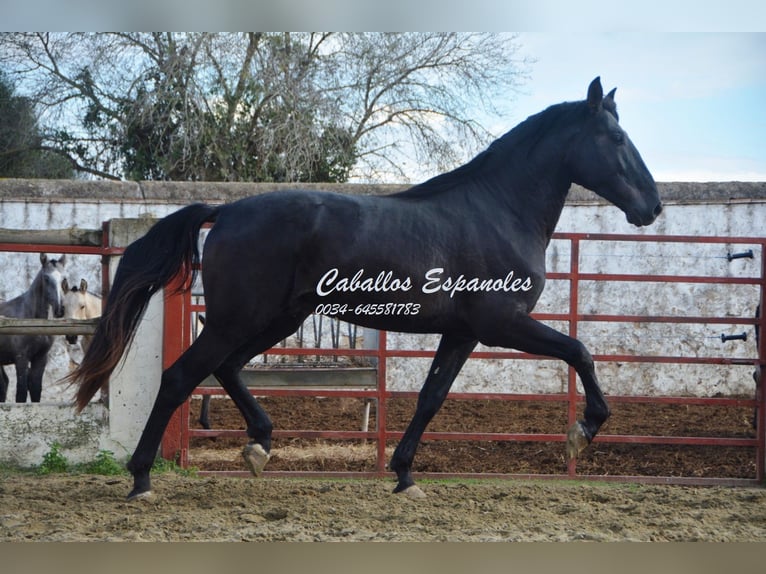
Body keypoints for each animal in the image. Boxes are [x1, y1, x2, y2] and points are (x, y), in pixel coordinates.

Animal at [0, 254, 67, 408]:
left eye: (64, 278)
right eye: (46, 278)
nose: (59, 309)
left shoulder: (40, 358)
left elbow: (36, 390)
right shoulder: (21, 358)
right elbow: (21, 393)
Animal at [69, 79, 664, 502]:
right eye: (616, 139)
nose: (653, 207)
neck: (497, 211)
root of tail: (228, 210)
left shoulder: (462, 333)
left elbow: (431, 397)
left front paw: (404, 476)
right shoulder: (503, 324)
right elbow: (580, 351)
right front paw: (584, 429)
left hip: (274, 319)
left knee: (226, 368)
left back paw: (259, 446)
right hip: (238, 318)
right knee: (180, 377)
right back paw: (142, 480)